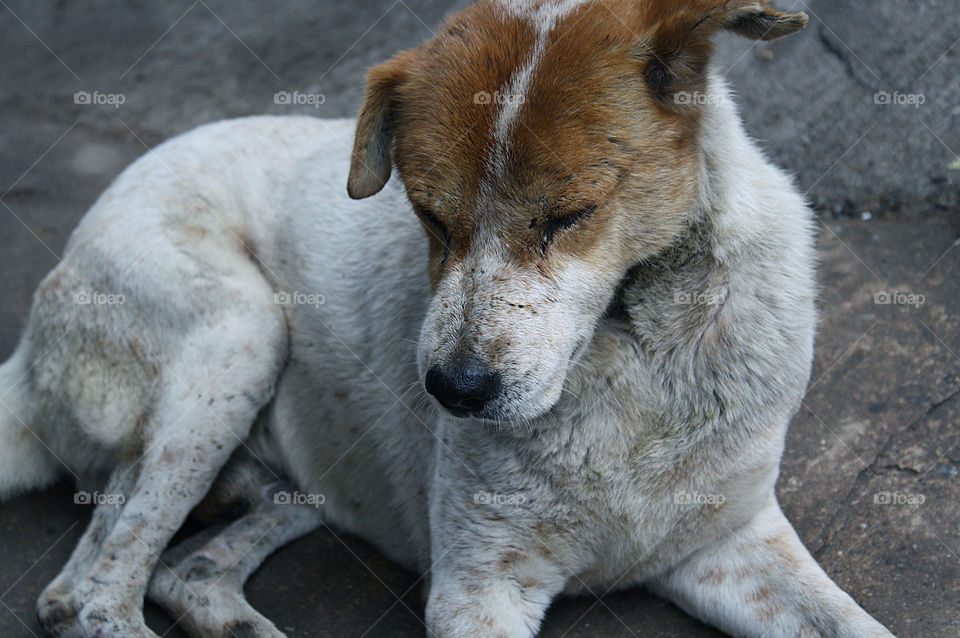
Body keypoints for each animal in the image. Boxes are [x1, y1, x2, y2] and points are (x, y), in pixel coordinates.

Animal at [1, 1, 900, 638]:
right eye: (429, 217)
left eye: (570, 216)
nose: (455, 391)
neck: (634, 353)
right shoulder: (481, 586)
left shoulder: (730, 543)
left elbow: (856, 624)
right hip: (239, 335)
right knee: (89, 591)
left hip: (299, 479)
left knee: (172, 572)